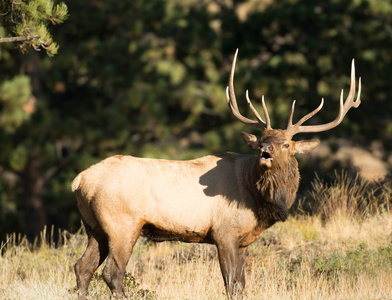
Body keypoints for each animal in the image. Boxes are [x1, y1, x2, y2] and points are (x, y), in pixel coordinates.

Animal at [72, 49, 360, 298]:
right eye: (262, 139)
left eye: (287, 144)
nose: (265, 150)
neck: (258, 201)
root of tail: (79, 181)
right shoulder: (224, 233)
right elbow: (231, 285)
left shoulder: (242, 241)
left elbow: (241, 285)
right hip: (122, 224)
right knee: (112, 273)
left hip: (94, 227)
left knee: (82, 267)